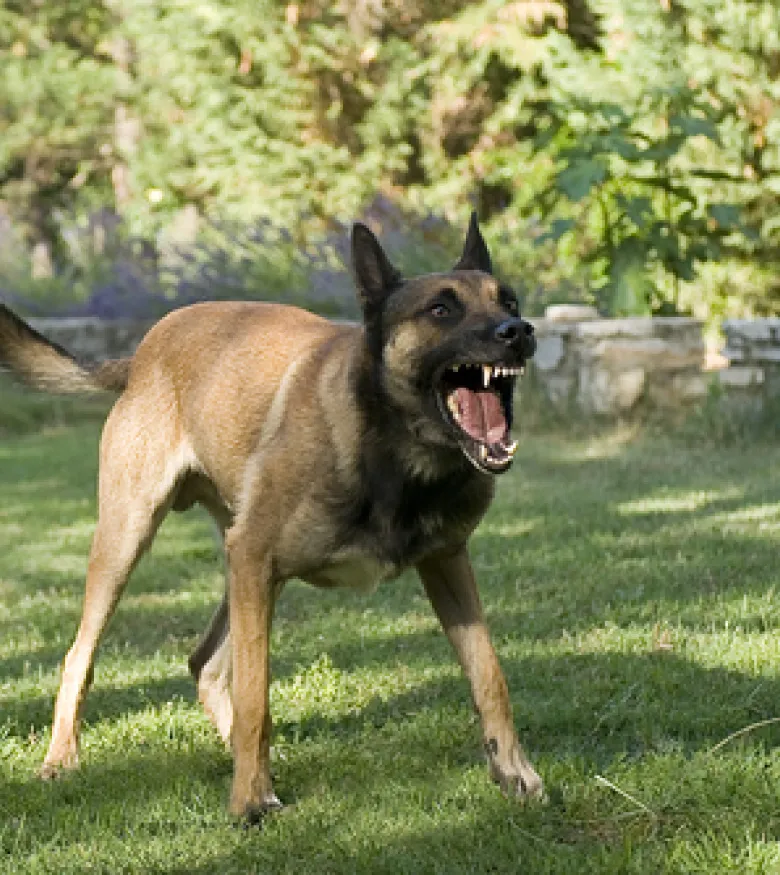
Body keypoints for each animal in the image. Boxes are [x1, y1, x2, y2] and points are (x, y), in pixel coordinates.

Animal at [1, 214, 544, 820]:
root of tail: (143, 351)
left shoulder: (446, 565)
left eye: (509, 299)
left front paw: (515, 772)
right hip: (131, 540)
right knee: (82, 654)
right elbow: (256, 695)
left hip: (243, 567)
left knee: (205, 663)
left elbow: (490, 675)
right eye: (442, 309)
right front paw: (249, 799)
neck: (391, 450)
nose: (518, 331)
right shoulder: (256, 561)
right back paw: (62, 758)